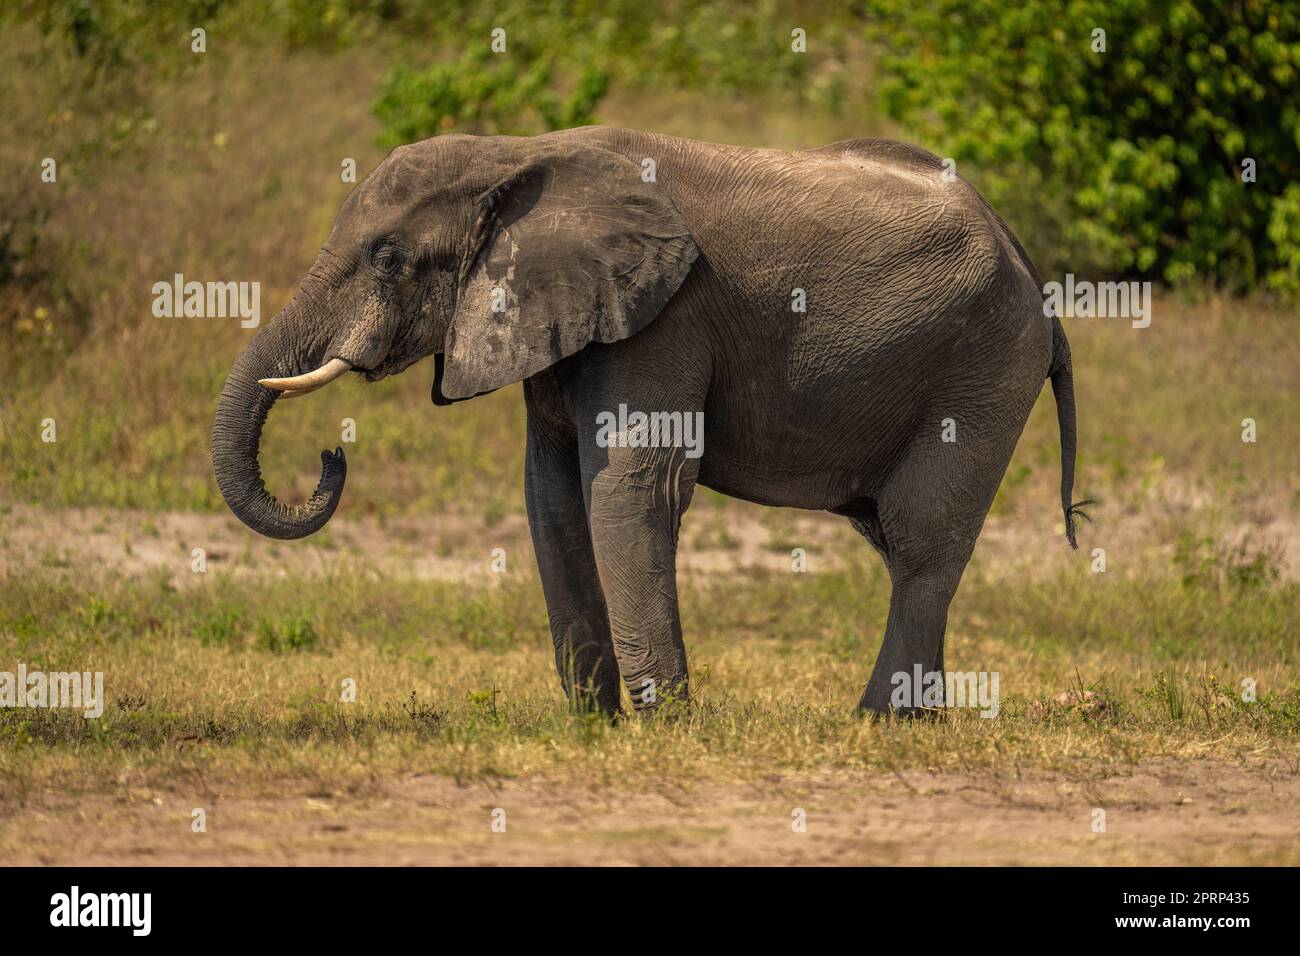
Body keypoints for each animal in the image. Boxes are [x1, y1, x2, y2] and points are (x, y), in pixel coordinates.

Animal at [212, 126, 1086, 717]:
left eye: (389, 259)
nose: (330, 457)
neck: (520, 154)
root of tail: (1030, 272)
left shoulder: (665, 316)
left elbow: (635, 488)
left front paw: (667, 722)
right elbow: (552, 497)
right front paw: (593, 724)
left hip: (983, 366)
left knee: (921, 537)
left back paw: (880, 723)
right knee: (902, 541)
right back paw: (917, 720)